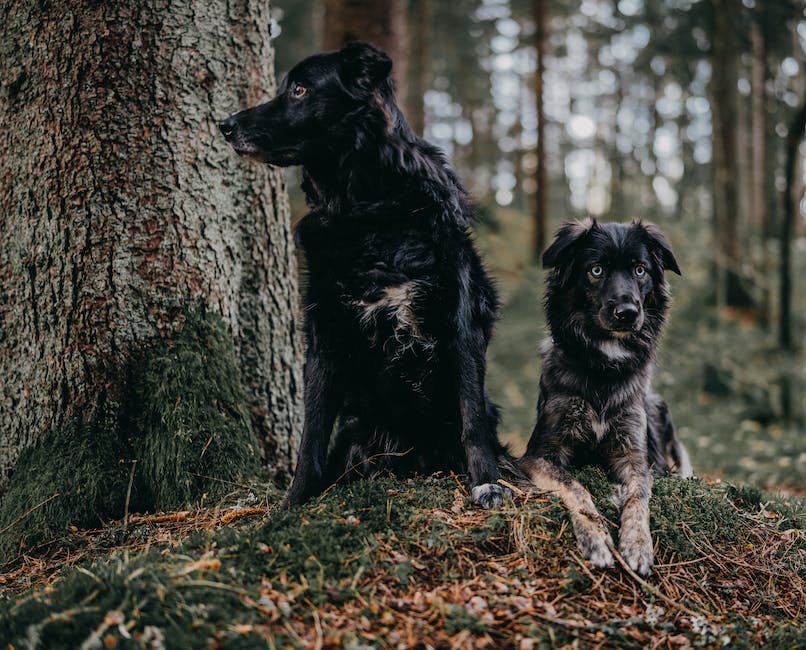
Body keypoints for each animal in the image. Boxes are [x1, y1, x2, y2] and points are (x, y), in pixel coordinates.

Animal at [219, 41, 512, 506]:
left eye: (300, 89)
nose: (225, 126)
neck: (366, 210)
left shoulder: (458, 322)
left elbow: (471, 420)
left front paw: (487, 482)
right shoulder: (323, 333)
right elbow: (312, 431)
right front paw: (295, 500)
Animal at [524, 220, 696, 576]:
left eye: (640, 270)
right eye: (596, 270)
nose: (627, 313)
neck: (604, 367)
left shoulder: (635, 457)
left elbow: (639, 497)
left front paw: (638, 544)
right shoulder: (539, 455)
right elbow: (574, 486)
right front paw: (596, 538)